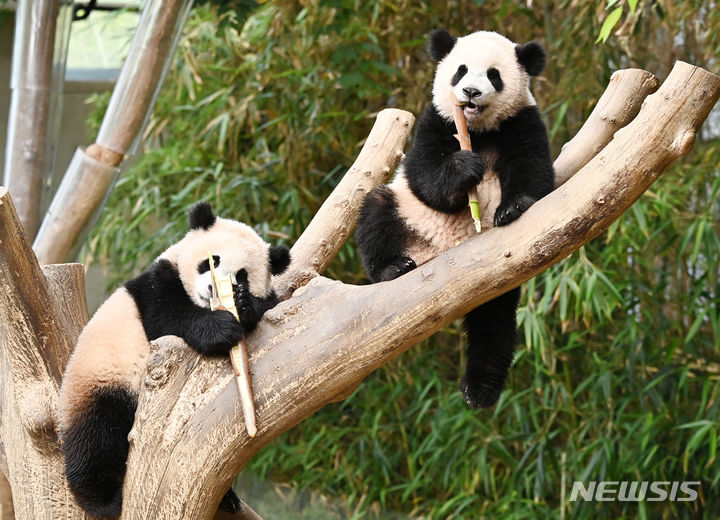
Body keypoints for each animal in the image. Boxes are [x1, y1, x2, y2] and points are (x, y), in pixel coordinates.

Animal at [58, 203, 290, 520]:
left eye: (241, 276)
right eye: (211, 260)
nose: (212, 290)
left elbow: (266, 306)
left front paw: (243, 306)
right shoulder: (158, 283)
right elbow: (169, 317)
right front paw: (221, 328)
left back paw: (227, 498)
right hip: (100, 377)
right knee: (96, 436)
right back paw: (103, 500)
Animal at [358, 29, 556, 410]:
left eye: (493, 74)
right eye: (460, 71)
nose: (471, 92)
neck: (478, 130)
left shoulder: (522, 121)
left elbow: (533, 168)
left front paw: (512, 208)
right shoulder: (436, 120)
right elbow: (423, 174)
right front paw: (464, 168)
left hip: (497, 280)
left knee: (493, 325)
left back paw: (479, 390)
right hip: (407, 214)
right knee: (376, 209)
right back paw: (394, 267)